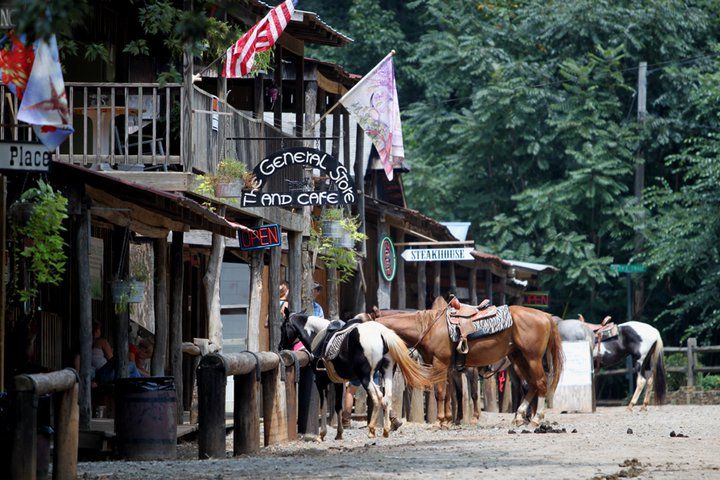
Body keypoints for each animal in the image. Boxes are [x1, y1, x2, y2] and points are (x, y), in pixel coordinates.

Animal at [282, 312, 438, 438]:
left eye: (283, 326)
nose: (280, 346)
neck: (318, 335)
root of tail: (381, 333)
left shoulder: (321, 381)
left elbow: (323, 405)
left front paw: (322, 434)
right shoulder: (338, 381)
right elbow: (338, 406)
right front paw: (339, 433)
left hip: (366, 377)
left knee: (377, 397)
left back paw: (372, 430)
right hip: (386, 372)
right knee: (386, 397)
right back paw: (386, 430)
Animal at [374, 296, 564, 428]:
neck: (427, 327)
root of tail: (545, 316)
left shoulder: (441, 364)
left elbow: (442, 393)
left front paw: (440, 422)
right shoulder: (448, 368)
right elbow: (450, 393)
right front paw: (448, 421)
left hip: (532, 358)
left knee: (540, 383)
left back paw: (535, 419)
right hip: (519, 358)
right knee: (532, 385)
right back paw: (519, 417)